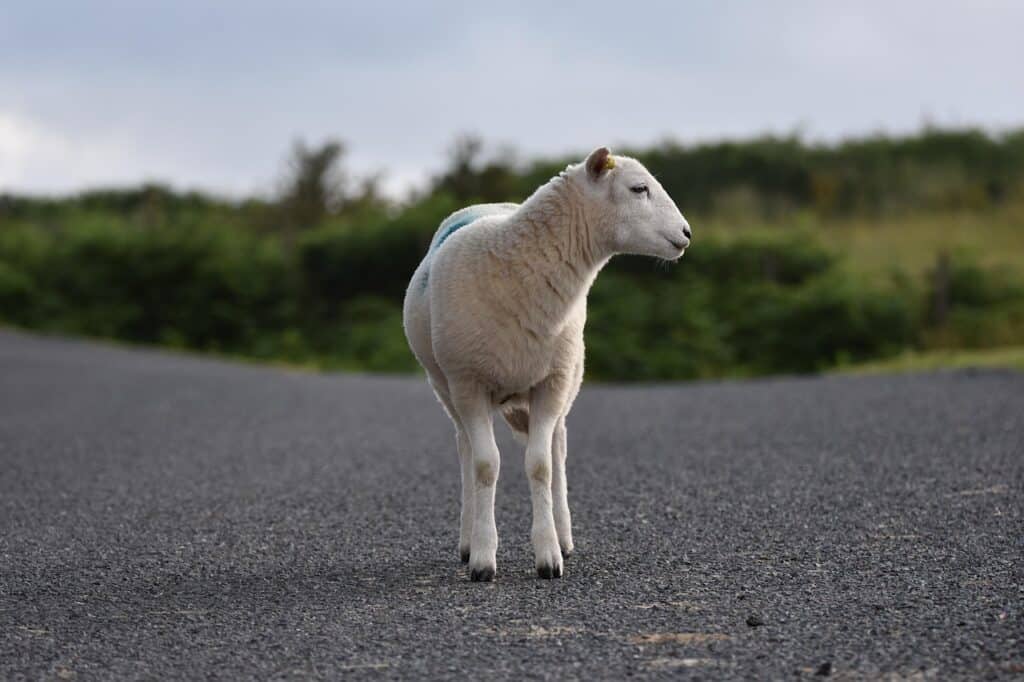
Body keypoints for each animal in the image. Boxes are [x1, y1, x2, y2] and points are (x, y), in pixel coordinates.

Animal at [403, 147, 692, 581]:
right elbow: (485, 465)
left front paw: (549, 555)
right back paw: (468, 541)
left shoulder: (551, 384)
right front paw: (483, 558)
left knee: (557, 449)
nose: (687, 233)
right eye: (638, 189)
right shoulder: (468, 384)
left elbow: (540, 466)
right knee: (466, 451)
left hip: (564, 381)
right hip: (446, 388)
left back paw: (563, 535)